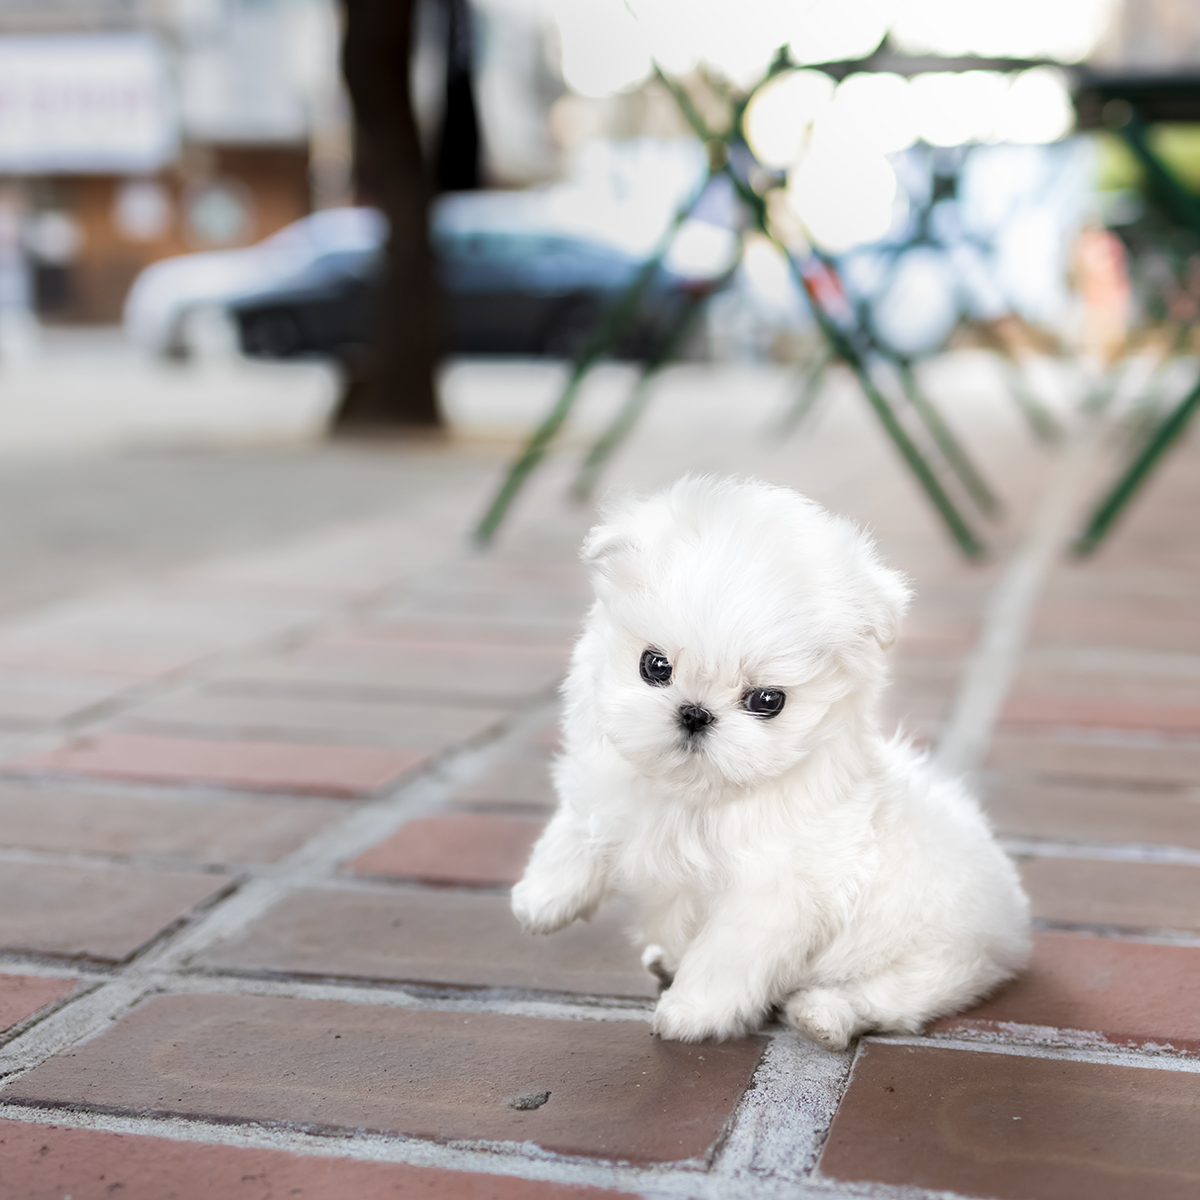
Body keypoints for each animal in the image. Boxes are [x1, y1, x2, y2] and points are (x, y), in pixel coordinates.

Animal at [511, 472, 1027, 1046]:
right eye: (654, 666)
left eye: (767, 701)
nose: (695, 713)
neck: (690, 795)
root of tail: (1010, 919)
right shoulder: (609, 790)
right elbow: (575, 832)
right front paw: (539, 901)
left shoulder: (768, 901)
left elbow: (723, 959)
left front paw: (690, 1014)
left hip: (931, 961)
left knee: (883, 1000)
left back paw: (821, 1016)